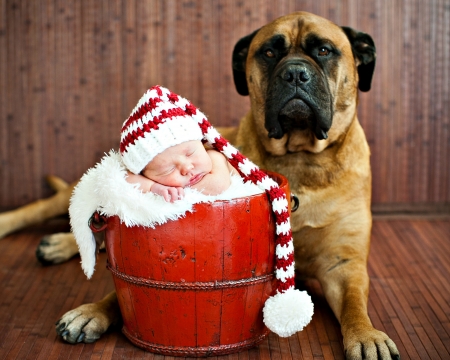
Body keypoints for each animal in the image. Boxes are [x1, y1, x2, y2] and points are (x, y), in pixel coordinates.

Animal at [0, 11, 400, 360]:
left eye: (324, 51)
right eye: (269, 53)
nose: (295, 74)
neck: (299, 157)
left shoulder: (343, 264)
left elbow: (354, 305)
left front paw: (367, 335)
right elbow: (118, 293)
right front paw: (93, 311)